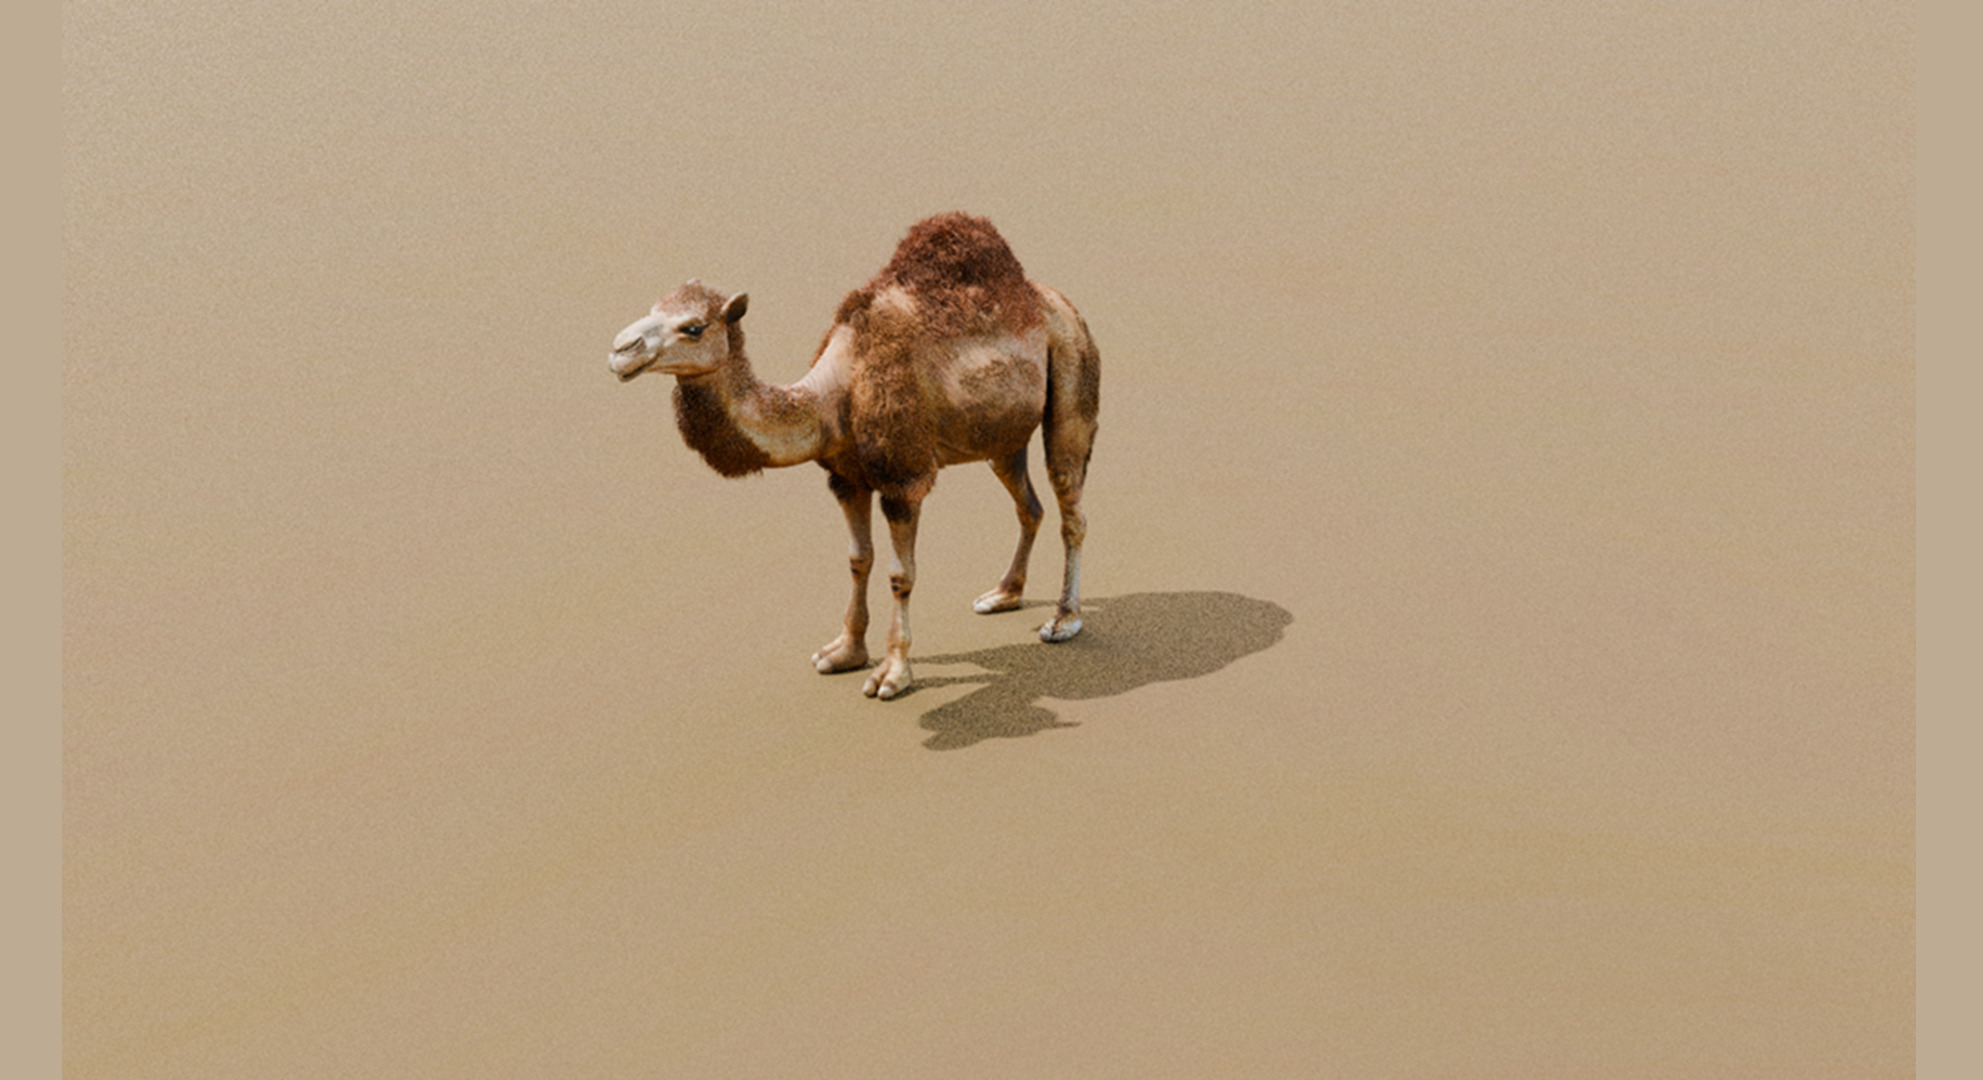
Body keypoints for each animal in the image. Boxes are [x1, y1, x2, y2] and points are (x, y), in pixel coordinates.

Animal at [609, 213, 1100, 700]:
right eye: (653, 308)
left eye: (693, 327)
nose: (619, 349)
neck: (835, 392)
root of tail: (1056, 299)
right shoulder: (846, 478)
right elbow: (857, 559)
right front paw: (843, 652)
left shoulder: (904, 478)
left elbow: (901, 574)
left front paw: (892, 675)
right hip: (1002, 433)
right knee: (1028, 503)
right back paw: (1003, 595)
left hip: (1072, 361)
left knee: (1070, 502)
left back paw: (1063, 620)